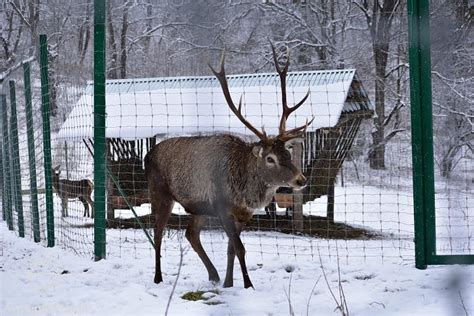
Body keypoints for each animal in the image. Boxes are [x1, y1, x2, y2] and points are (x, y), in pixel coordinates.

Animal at [144, 45, 314, 288]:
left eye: (288, 153)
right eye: (270, 158)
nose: (301, 179)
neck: (244, 192)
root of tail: (147, 155)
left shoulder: (243, 214)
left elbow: (231, 249)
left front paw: (228, 283)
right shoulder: (222, 207)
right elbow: (240, 248)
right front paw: (248, 284)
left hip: (198, 207)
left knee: (191, 234)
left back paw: (213, 275)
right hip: (160, 192)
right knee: (158, 232)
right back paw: (158, 277)